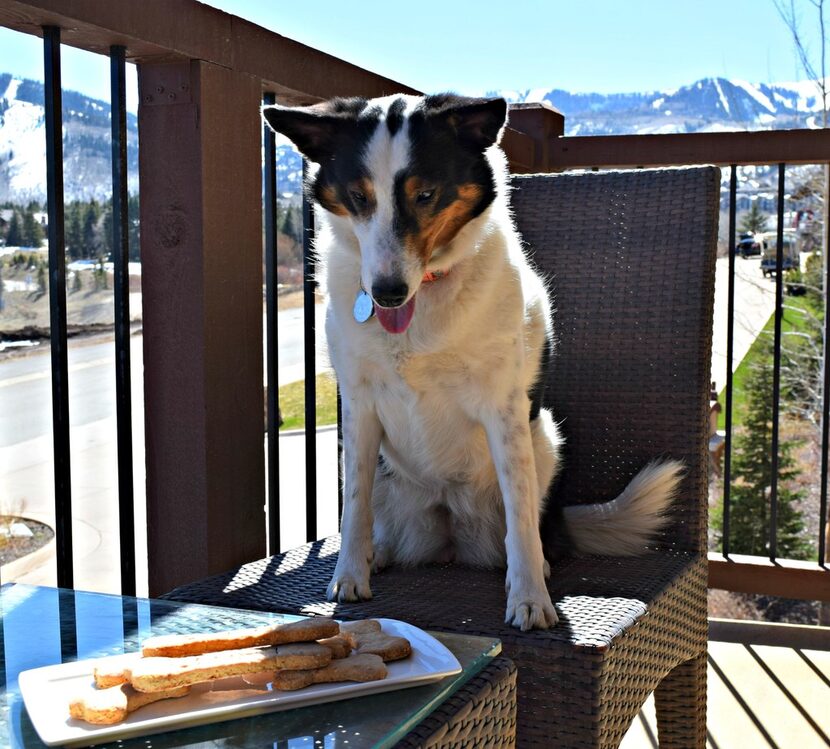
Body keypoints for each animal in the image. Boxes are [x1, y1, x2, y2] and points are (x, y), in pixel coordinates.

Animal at [264, 95, 684, 632]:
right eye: (358, 197)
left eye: (425, 195)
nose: (386, 294)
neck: (426, 296)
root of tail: (450, 533)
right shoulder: (358, 409)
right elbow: (353, 507)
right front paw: (350, 576)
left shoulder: (503, 411)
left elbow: (521, 518)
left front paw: (529, 597)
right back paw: (381, 552)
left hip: (544, 438)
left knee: (530, 525)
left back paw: (539, 561)